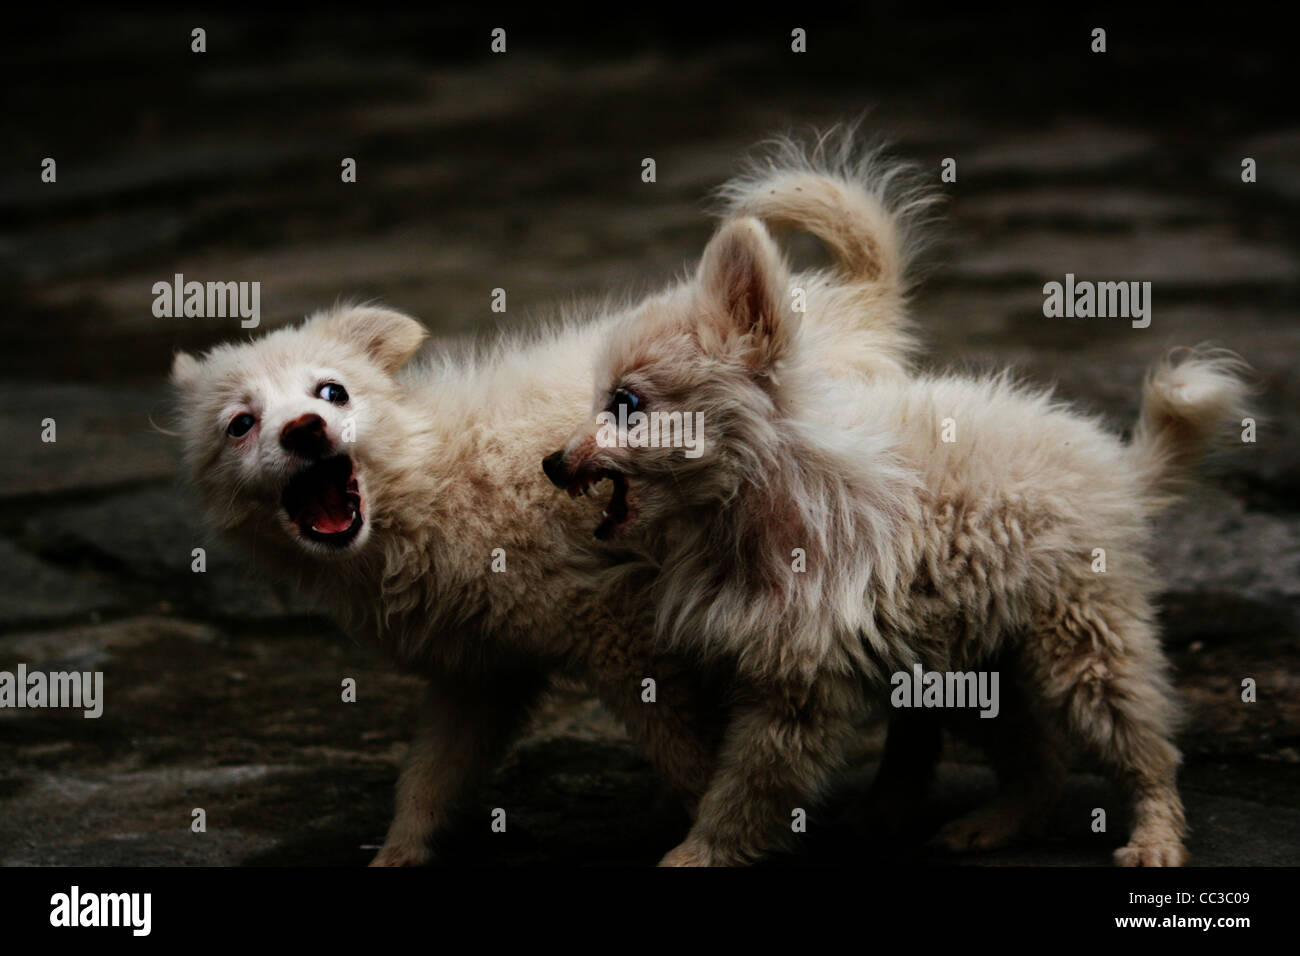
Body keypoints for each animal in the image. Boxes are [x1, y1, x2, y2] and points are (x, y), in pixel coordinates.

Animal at [170, 134, 925, 868]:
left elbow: (690, 756)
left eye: (333, 391)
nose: (305, 429)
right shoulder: (480, 671)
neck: (428, 483)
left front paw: (706, 838)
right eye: (239, 424)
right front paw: (397, 854)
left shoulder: (618, 628)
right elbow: (429, 778)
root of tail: (860, 300)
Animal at [548, 214, 1248, 868]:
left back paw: (1155, 833)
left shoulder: (797, 687)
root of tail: (1119, 468)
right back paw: (997, 824)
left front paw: (701, 850)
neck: (753, 497)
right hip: (967, 652)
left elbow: (746, 785)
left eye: (626, 403)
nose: (552, 463)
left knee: (1137, 737)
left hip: (1081, 637)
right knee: (1040, 756)